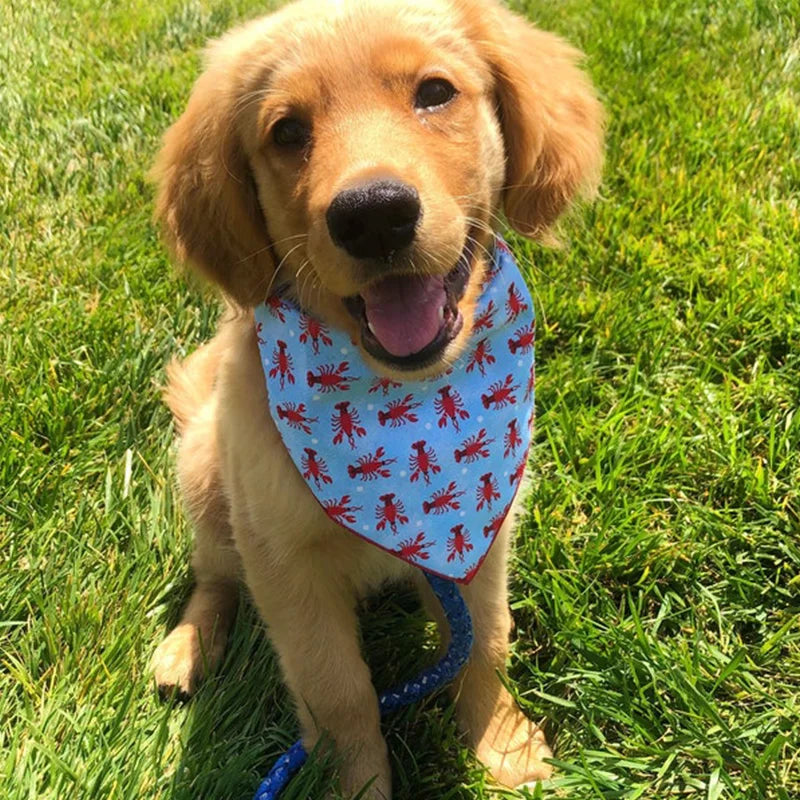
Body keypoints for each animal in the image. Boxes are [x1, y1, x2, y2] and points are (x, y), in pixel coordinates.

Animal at [150, 1, 600, 792]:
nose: (374, 215)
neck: (400, 402)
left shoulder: (481, 533)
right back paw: (187, 647)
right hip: (207, 478)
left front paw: (503, 750)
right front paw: (356, 786)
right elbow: (338, 693)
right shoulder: (284, 562)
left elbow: (486, 642)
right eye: (286, 131)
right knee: (214, 576)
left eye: (435, 92)